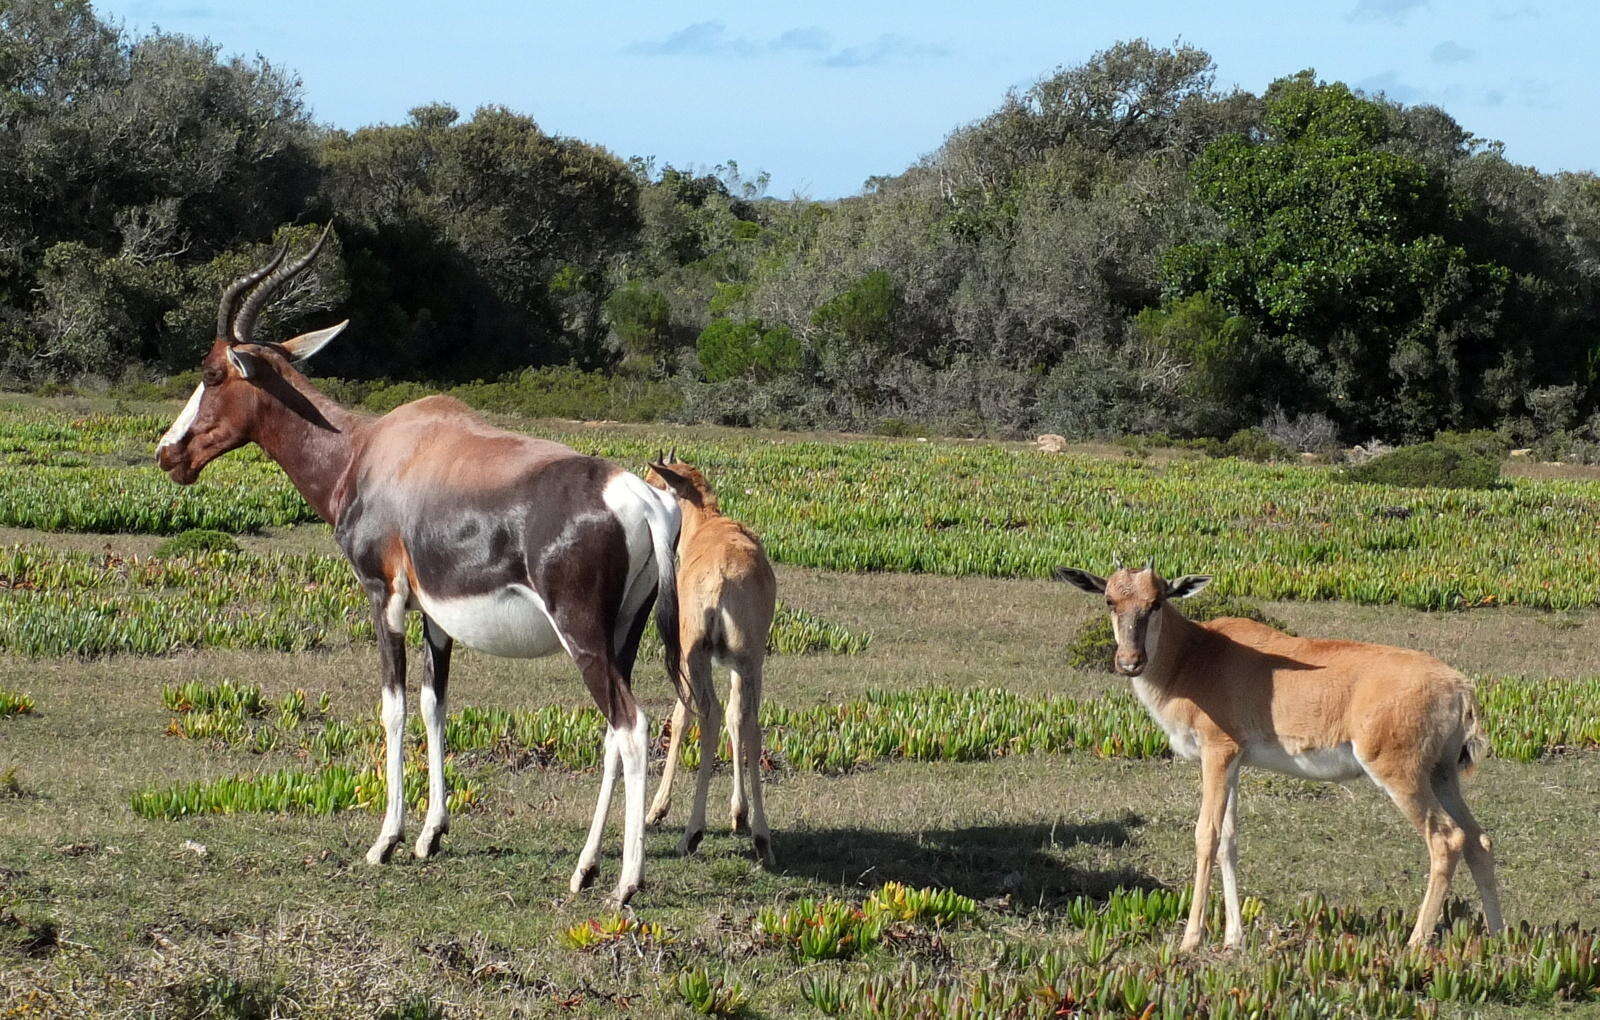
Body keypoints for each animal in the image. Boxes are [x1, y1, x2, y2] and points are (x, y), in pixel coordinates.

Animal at [646, 454, 777, 863]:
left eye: (652, 480)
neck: (708, 524)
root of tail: (722, 580)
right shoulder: (742, 663)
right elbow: (739, 719)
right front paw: (739, 814)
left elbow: (679, 717)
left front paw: (656, 810)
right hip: (750, 661)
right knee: (746, 720)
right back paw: (761, 837)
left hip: (695, 659)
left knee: (709, 713)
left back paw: (692, 833)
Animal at [1062, 569, 1497, 952]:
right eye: (1110, 599)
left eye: (1157, 602)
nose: (1129, 662)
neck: (1200, 653)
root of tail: (1458, 686)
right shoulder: (1235, 763)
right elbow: (1229, 840)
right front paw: (1233, 940)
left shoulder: (1217, 755)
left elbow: (1207, 835)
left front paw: (1191, 940)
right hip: (1442, 775)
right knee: (1478, 839)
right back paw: (1498, 937)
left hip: (1401, 776)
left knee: (1447, 839)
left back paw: (1415, 943)